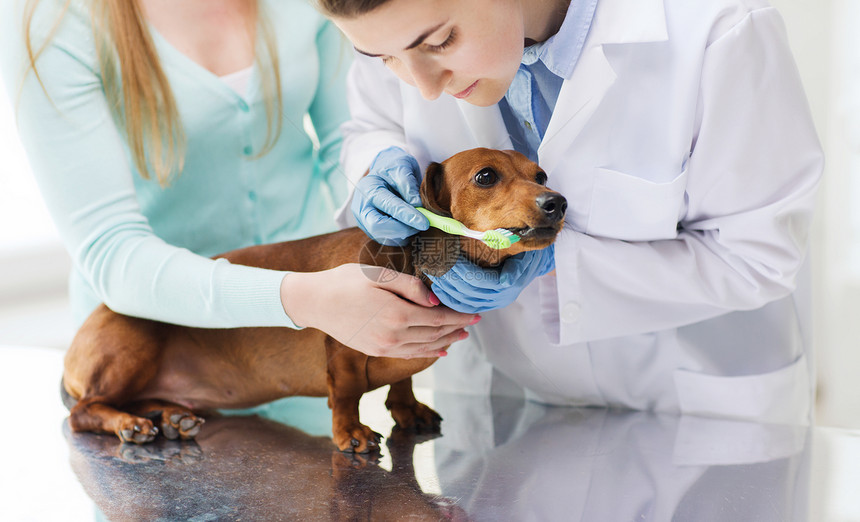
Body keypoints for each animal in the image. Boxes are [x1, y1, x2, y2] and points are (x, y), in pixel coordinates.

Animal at [62, 147, 572, 450]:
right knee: (83, 412)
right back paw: (128, 424)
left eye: (541, 173)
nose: (557, 202)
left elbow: (403, 380)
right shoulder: (343, 352)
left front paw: (407, 409)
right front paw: (351, 433)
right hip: (132, 349)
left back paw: (172, 417)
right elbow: (345, 394)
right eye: (485, 176)